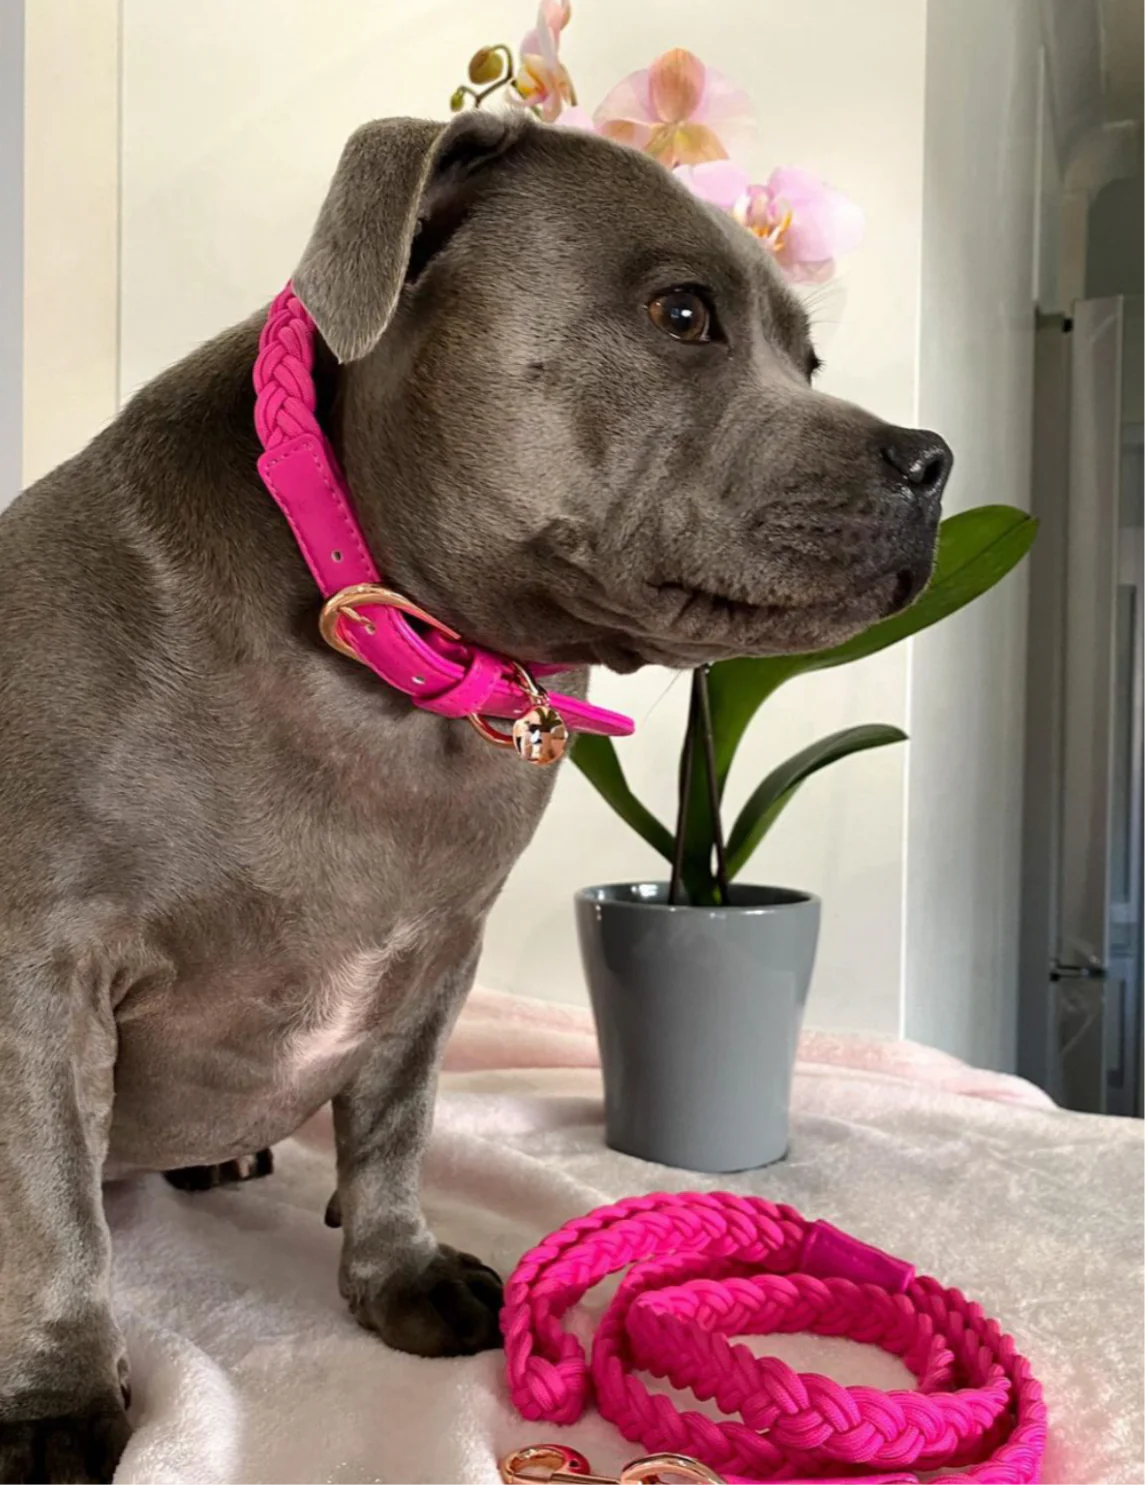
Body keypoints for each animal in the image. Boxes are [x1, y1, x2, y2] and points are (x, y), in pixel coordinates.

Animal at [0, 115, 950, 1485]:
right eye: (681, 314)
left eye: (807, 355)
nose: (933, 459)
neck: (391, 658)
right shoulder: (43, 965)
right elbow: (54, 1200)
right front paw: (59, 1397)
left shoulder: (435, 953)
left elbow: (397, 1121)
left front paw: (394, 1269)